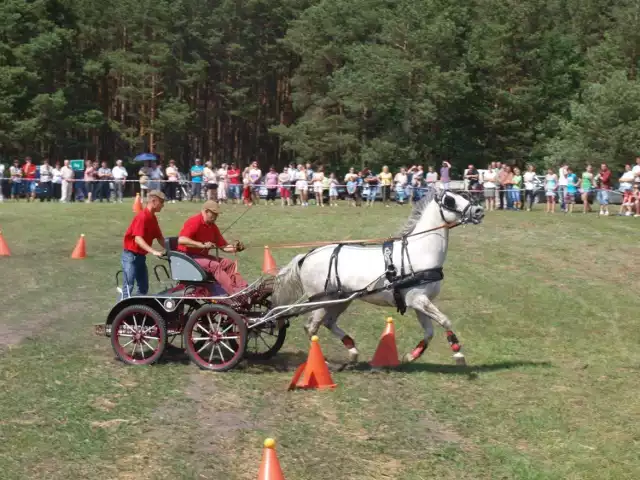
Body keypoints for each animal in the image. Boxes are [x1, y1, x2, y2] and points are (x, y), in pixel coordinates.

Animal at [270, 187, 484, 364]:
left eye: (466, 195)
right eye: (450, 200)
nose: (479, 211)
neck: (419, 253)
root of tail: (306, 256)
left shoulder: (420, 301)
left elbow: (430, 331)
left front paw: (411, 355)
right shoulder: (418, 299)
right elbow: (445, 320)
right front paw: (457, 352)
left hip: (341, 299)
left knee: (328, 323)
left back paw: (352, 351)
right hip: (322, 300)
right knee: (311, 327)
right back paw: (323, 362)